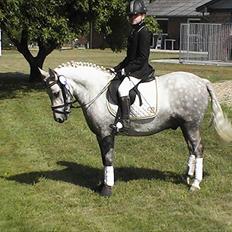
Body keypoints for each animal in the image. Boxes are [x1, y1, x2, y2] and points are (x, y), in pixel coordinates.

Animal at [39, 61, 231, 196]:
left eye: (56, 92)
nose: (59, 118)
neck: (95, 90)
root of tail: (201, 81)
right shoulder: (101, 135)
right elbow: (103, 158)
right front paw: (102, 184)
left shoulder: (106, 133)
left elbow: (108, 158)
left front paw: (107, 188)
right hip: (185, 126)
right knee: (191, 148)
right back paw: (187, 176)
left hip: (191, 125)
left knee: (198, 149)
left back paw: (195, 184)